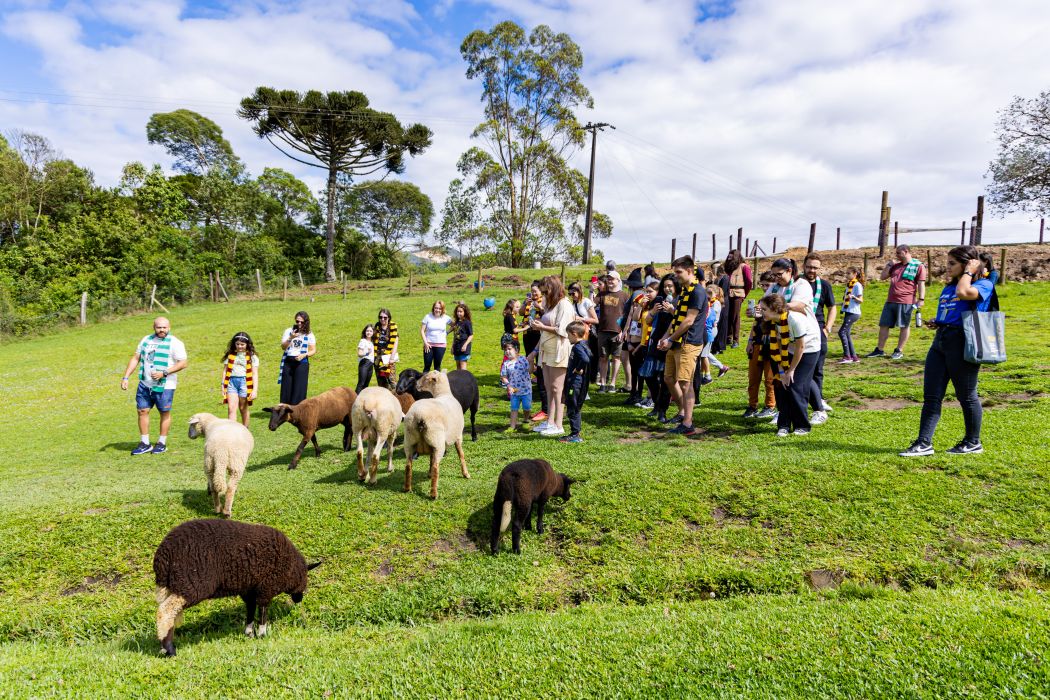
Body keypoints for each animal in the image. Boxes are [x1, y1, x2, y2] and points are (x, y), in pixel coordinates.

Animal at [153, 519, 319, 657]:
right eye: (306, 580)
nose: (299, 600)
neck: (291, 569)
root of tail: (163, 556)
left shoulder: (249, 589)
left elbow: (250, 609)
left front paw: (249, 633)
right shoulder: (266, 588)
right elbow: (263, 611)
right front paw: (263, 634)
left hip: (174, 585)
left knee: (170, 613)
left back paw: (163, 647)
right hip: (191, 584)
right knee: (165, 611)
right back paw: (170, 650)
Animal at [402, 371, 470, 499]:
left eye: (426, 378)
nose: (416, 384)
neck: (444, 394)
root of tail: (420, 417)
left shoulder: (431, 444)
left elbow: (430, 458)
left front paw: (428, 474)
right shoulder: (458, 436)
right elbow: (461, 455)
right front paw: (466, 474)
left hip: (410, 440)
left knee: (408, 465)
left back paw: (407, 488)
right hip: (437, 442)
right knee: (436, 467)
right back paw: (434, 494)